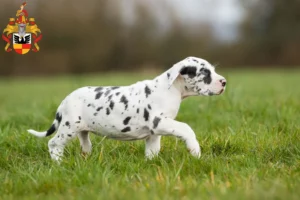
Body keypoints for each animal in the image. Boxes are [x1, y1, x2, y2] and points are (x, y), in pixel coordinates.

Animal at [28, 55, 226, 161]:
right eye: (205, 73)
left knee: (85, 144)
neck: (170, 89)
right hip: (68, 128)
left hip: (81, 129)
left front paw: (150, 163)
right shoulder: (160, 122)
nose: (224, 82)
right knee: (53, 144)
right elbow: (186, 129)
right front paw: (195, 150)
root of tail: (65, 100)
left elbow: (152, 151)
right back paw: (58, 162)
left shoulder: (154, 132)